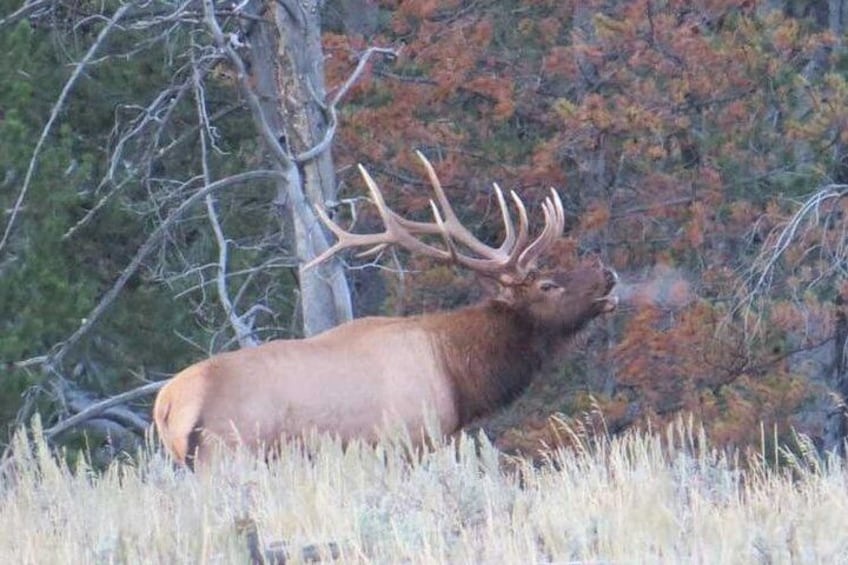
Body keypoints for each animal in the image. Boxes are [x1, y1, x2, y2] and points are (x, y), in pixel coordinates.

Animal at [152, 150, 616, 468]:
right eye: (547, 285)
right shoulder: (409, 439)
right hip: (229, 453)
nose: (607, 273)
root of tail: (166, 405)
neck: (458, 375)